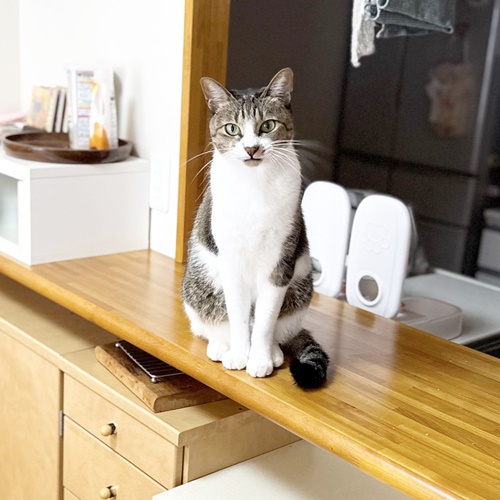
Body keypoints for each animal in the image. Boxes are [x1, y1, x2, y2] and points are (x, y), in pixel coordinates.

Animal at [181, 68, 329, 388]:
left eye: (268, 125)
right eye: (232, 129)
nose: (251, 148)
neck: (255, 186)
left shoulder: (280, 263)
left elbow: (264, 321)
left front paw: (259, 358)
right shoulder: (230, 261)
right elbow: (237, 316)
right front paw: (239, 354)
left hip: (300, 288)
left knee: (277, 327)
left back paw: (272, 351)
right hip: (199, 284)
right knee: (212, 322)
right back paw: (221, 345)